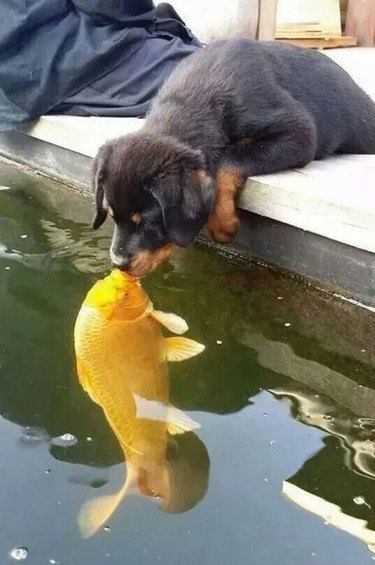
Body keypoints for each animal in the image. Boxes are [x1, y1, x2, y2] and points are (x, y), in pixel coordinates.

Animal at [92, 37, 375, 276]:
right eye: (111, 214)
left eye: (149, 222)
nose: (118, 264)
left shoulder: (299, 133)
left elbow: (227, 161)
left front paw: (222, 223)